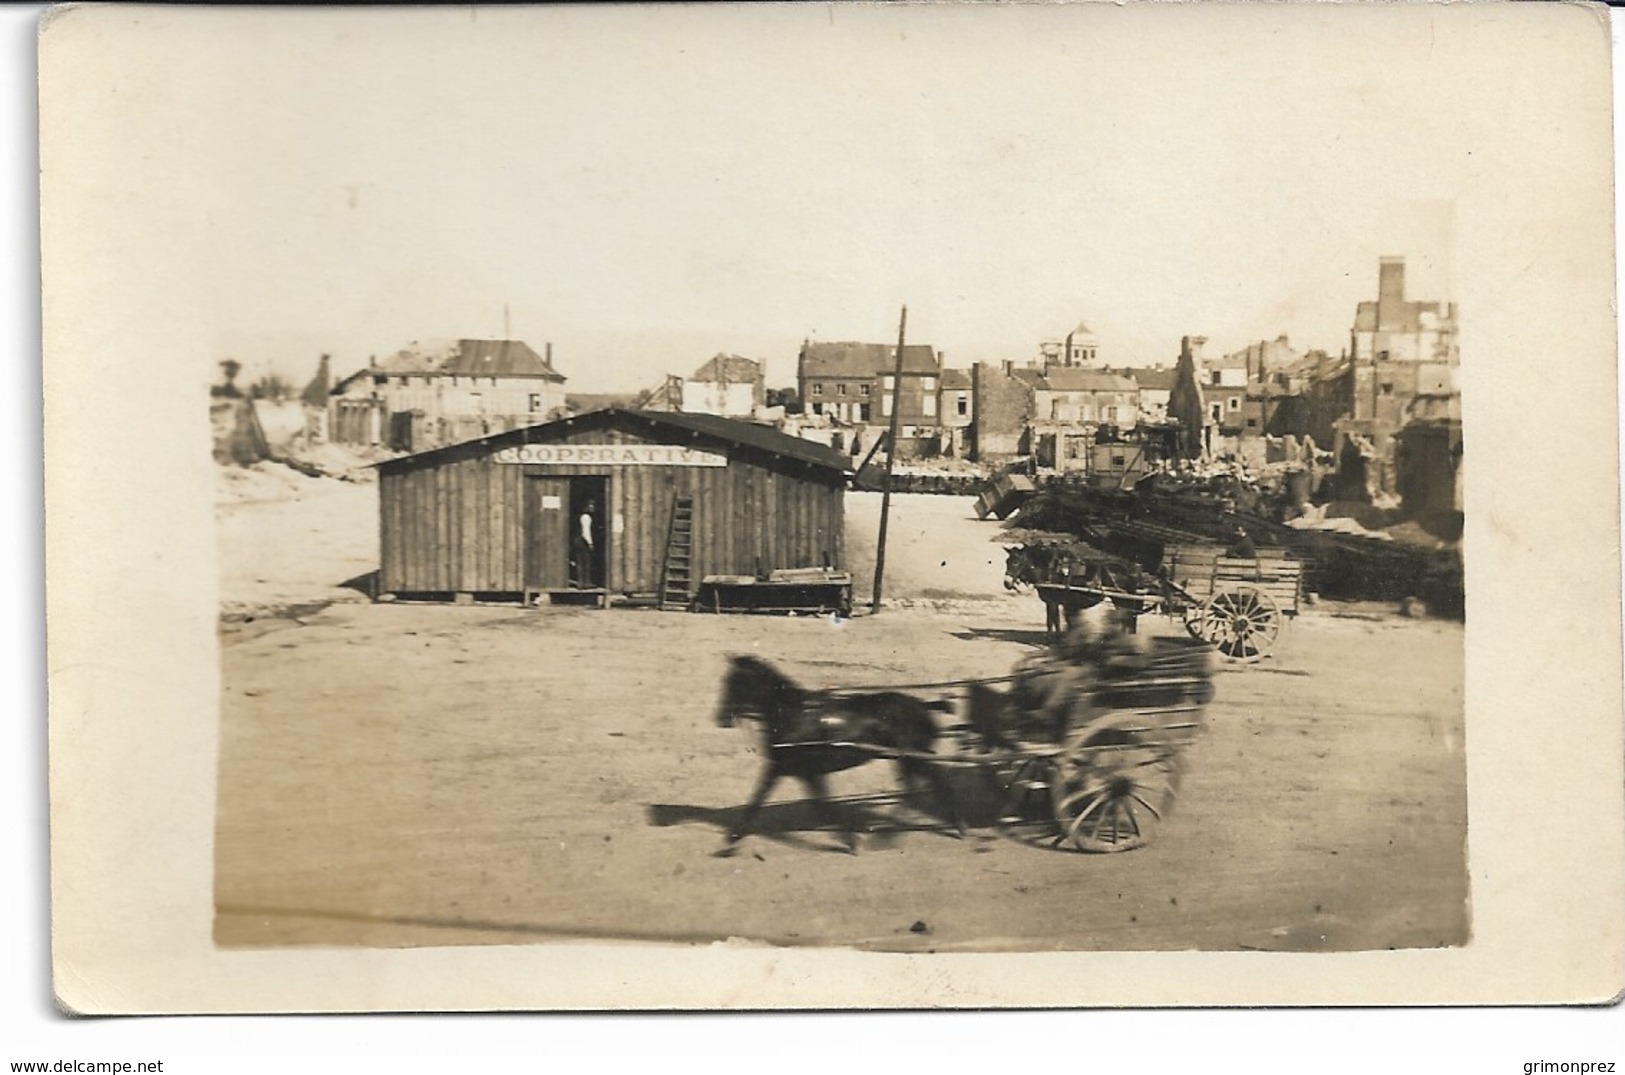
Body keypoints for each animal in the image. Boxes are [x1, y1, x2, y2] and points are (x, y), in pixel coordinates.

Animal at [718, 639, 1215, 857]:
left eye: (733, 684)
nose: (720, 719)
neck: (792, 711)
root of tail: (920, 703)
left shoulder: (803, 770)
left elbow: (809, 805)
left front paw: (848, 840)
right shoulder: (789, 769)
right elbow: (759, 801)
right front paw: (732, 841)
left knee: (933, 785)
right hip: (908, 756)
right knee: (922, 787)